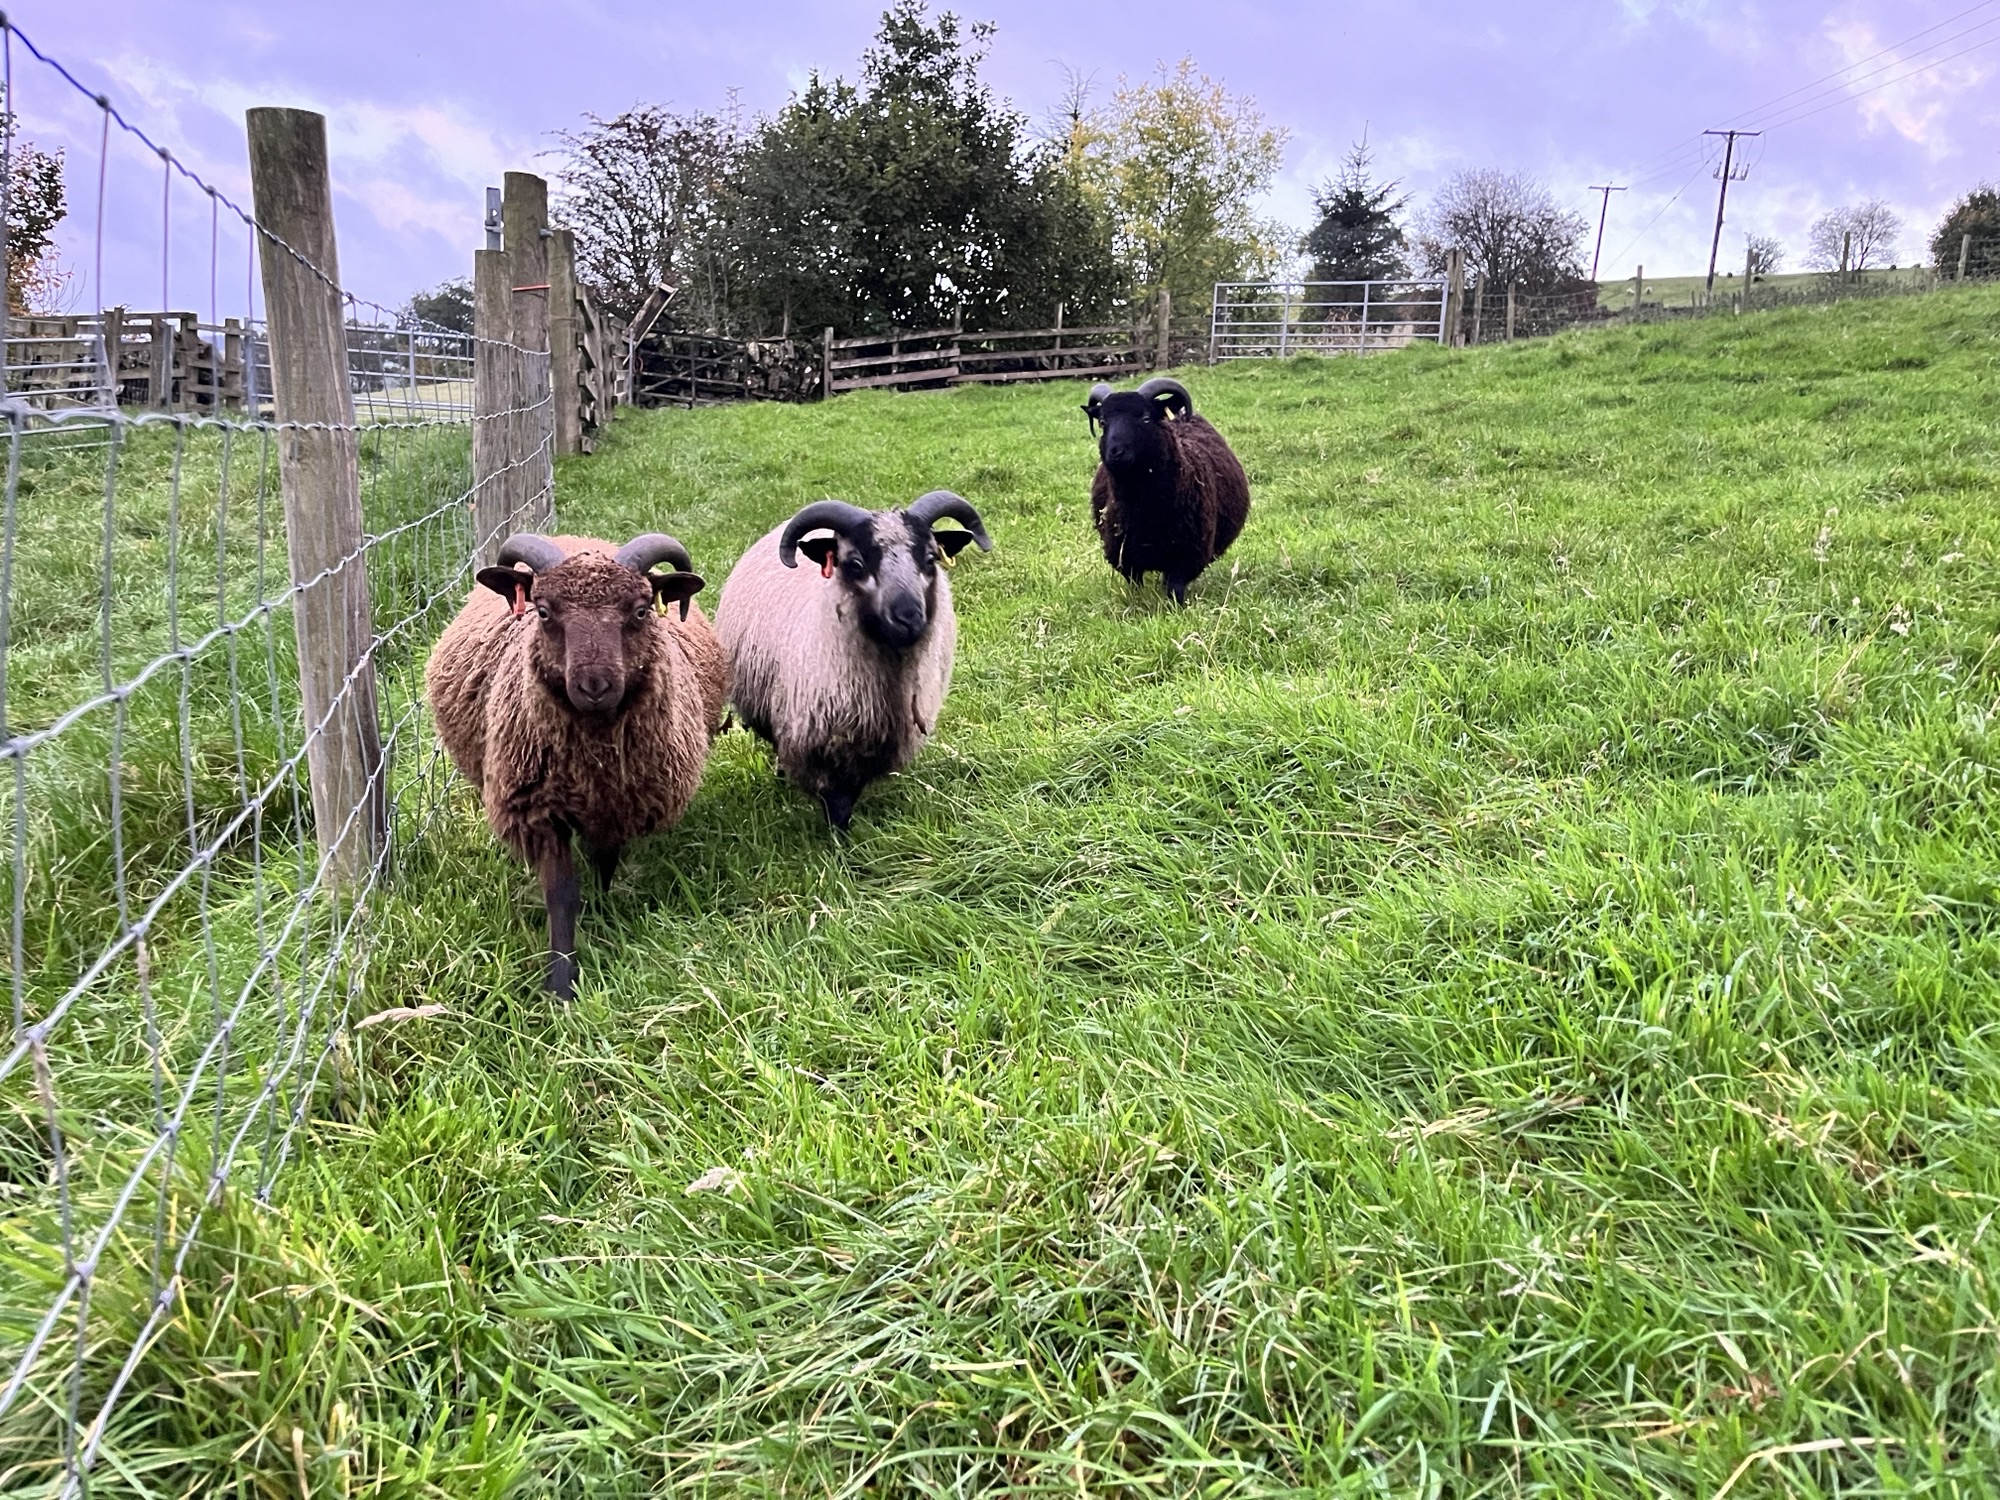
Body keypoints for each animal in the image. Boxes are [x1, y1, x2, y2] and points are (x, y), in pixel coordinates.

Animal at [422, 532, 728, 1000]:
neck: (592, 763)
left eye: (641, 610)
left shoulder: (620, 804)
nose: (594, 685)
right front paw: (560, 984)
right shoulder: (540, 812)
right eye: (543, 612)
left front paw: (602, 914)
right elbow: (561, 894)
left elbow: (604, 864)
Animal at [1080, 376, 1248, 604]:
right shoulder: (1125, 558)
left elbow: (1174, 590)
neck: (1145, 510)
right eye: (1103, 422)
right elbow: (1135, 588)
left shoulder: (1185, 557)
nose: (1115, 453)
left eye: (1145, 418)